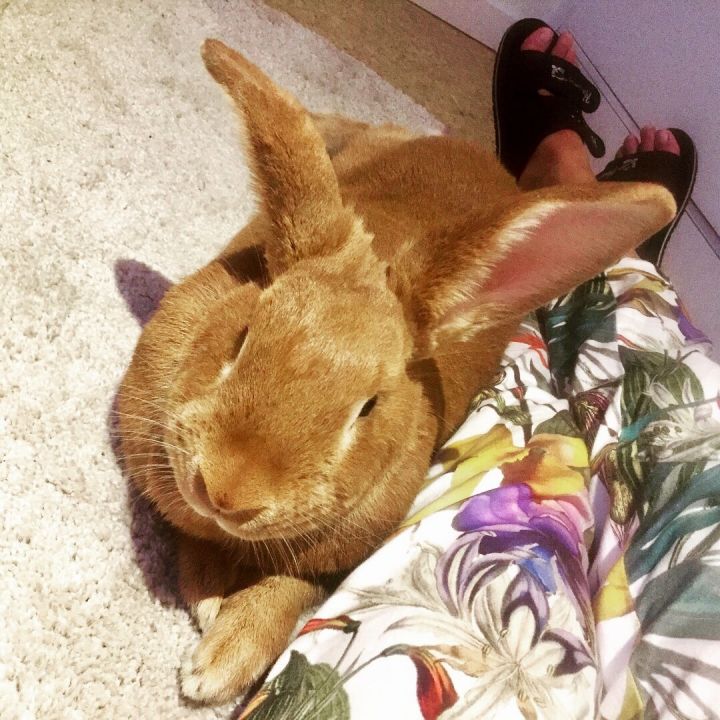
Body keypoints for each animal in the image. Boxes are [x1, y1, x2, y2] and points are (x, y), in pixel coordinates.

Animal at [116, 39, 675, 705]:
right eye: (244, 334)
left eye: (368, 407)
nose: (226, 489)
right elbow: (193, 539)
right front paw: (207, 606)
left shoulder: (331, 562)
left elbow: (291, 591)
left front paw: (220, 660)